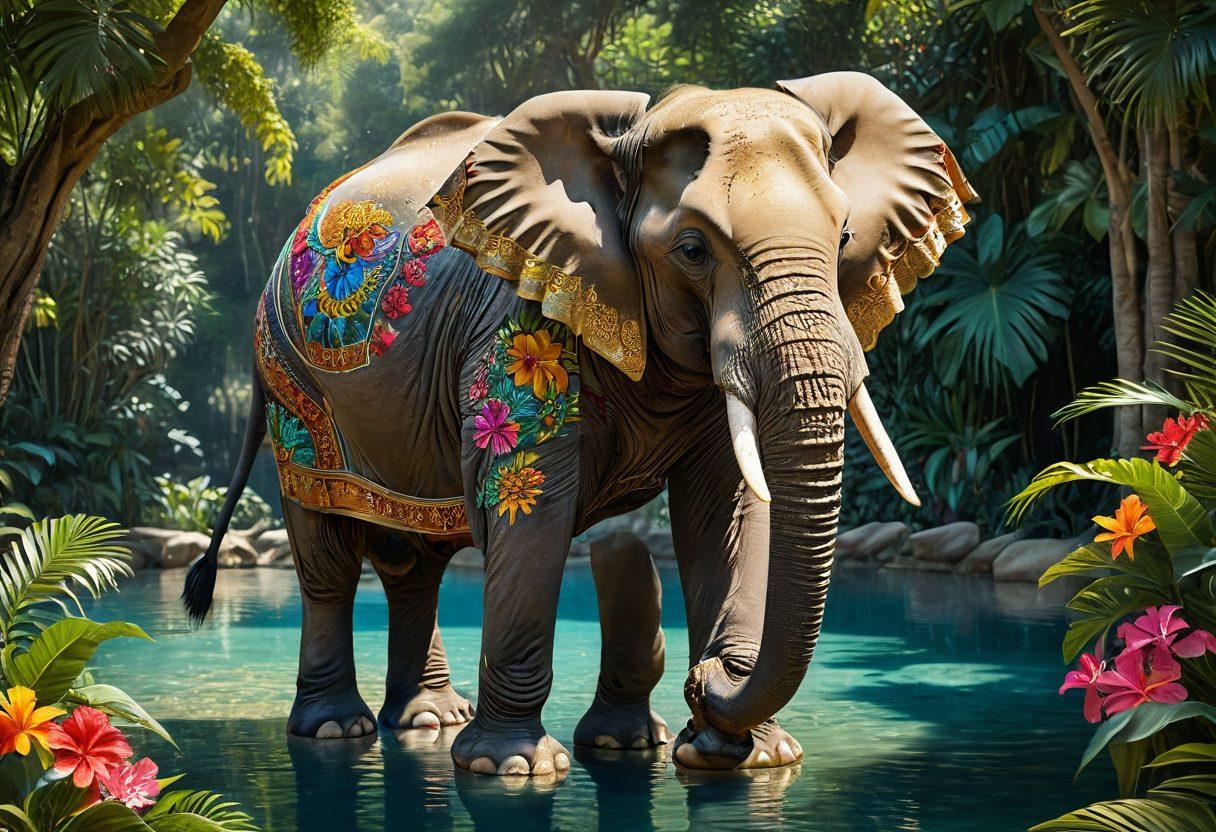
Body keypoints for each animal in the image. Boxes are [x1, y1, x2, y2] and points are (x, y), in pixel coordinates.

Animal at [183, 71, 975, 777]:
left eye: (843, 239)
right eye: (692, 250)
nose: (706, 682)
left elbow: (722, 513)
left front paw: (735, 758)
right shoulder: (518, 332)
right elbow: (527, 507)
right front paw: (513, 768)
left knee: (417, 563)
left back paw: (430, 721)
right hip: (295, 387)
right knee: (328, 555)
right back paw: (338, 729)